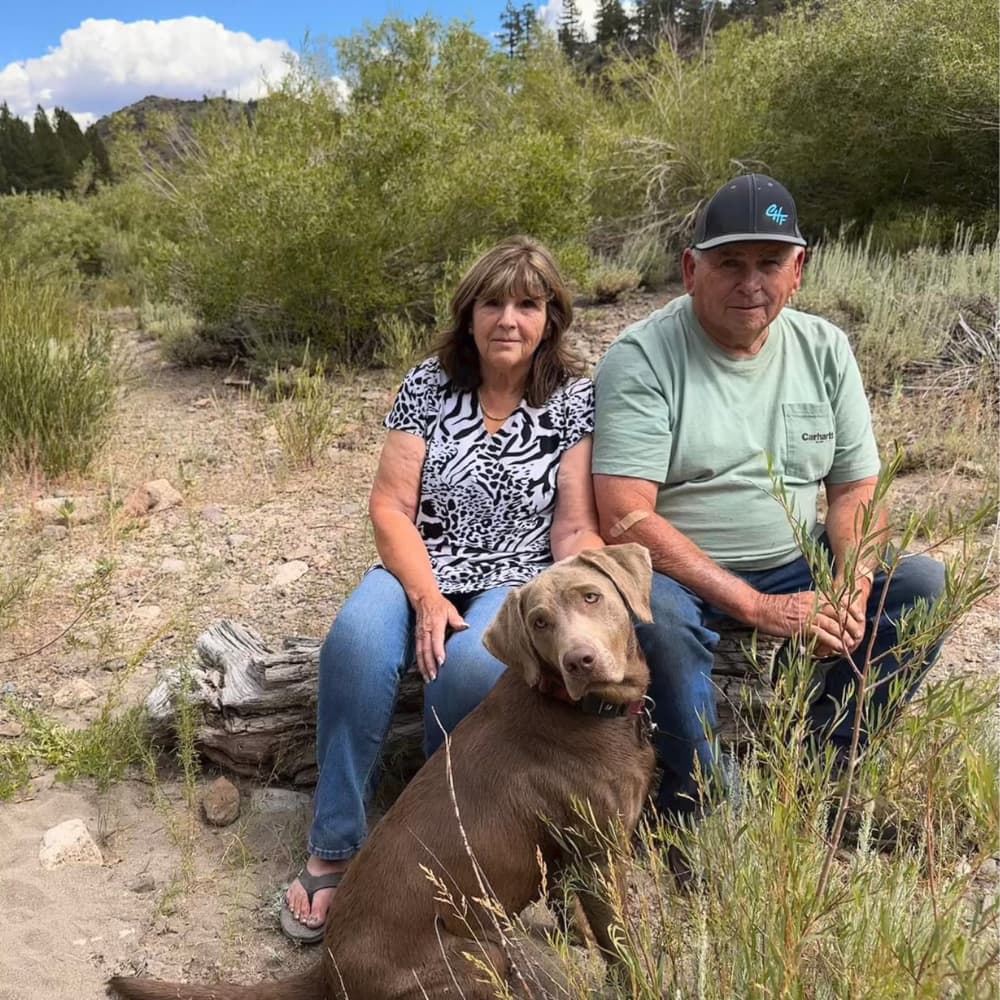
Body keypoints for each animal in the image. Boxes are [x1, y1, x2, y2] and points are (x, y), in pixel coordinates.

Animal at [107, 548, 656, 1000]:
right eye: (540, 622)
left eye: (591, 596)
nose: (580, 660)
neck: (581, 710)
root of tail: (328, 968)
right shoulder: (598, 854)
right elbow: (619, 942)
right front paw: (635, 978)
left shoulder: (568, 857)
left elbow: (577, 917)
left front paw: (577, 940)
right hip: (480, 959)